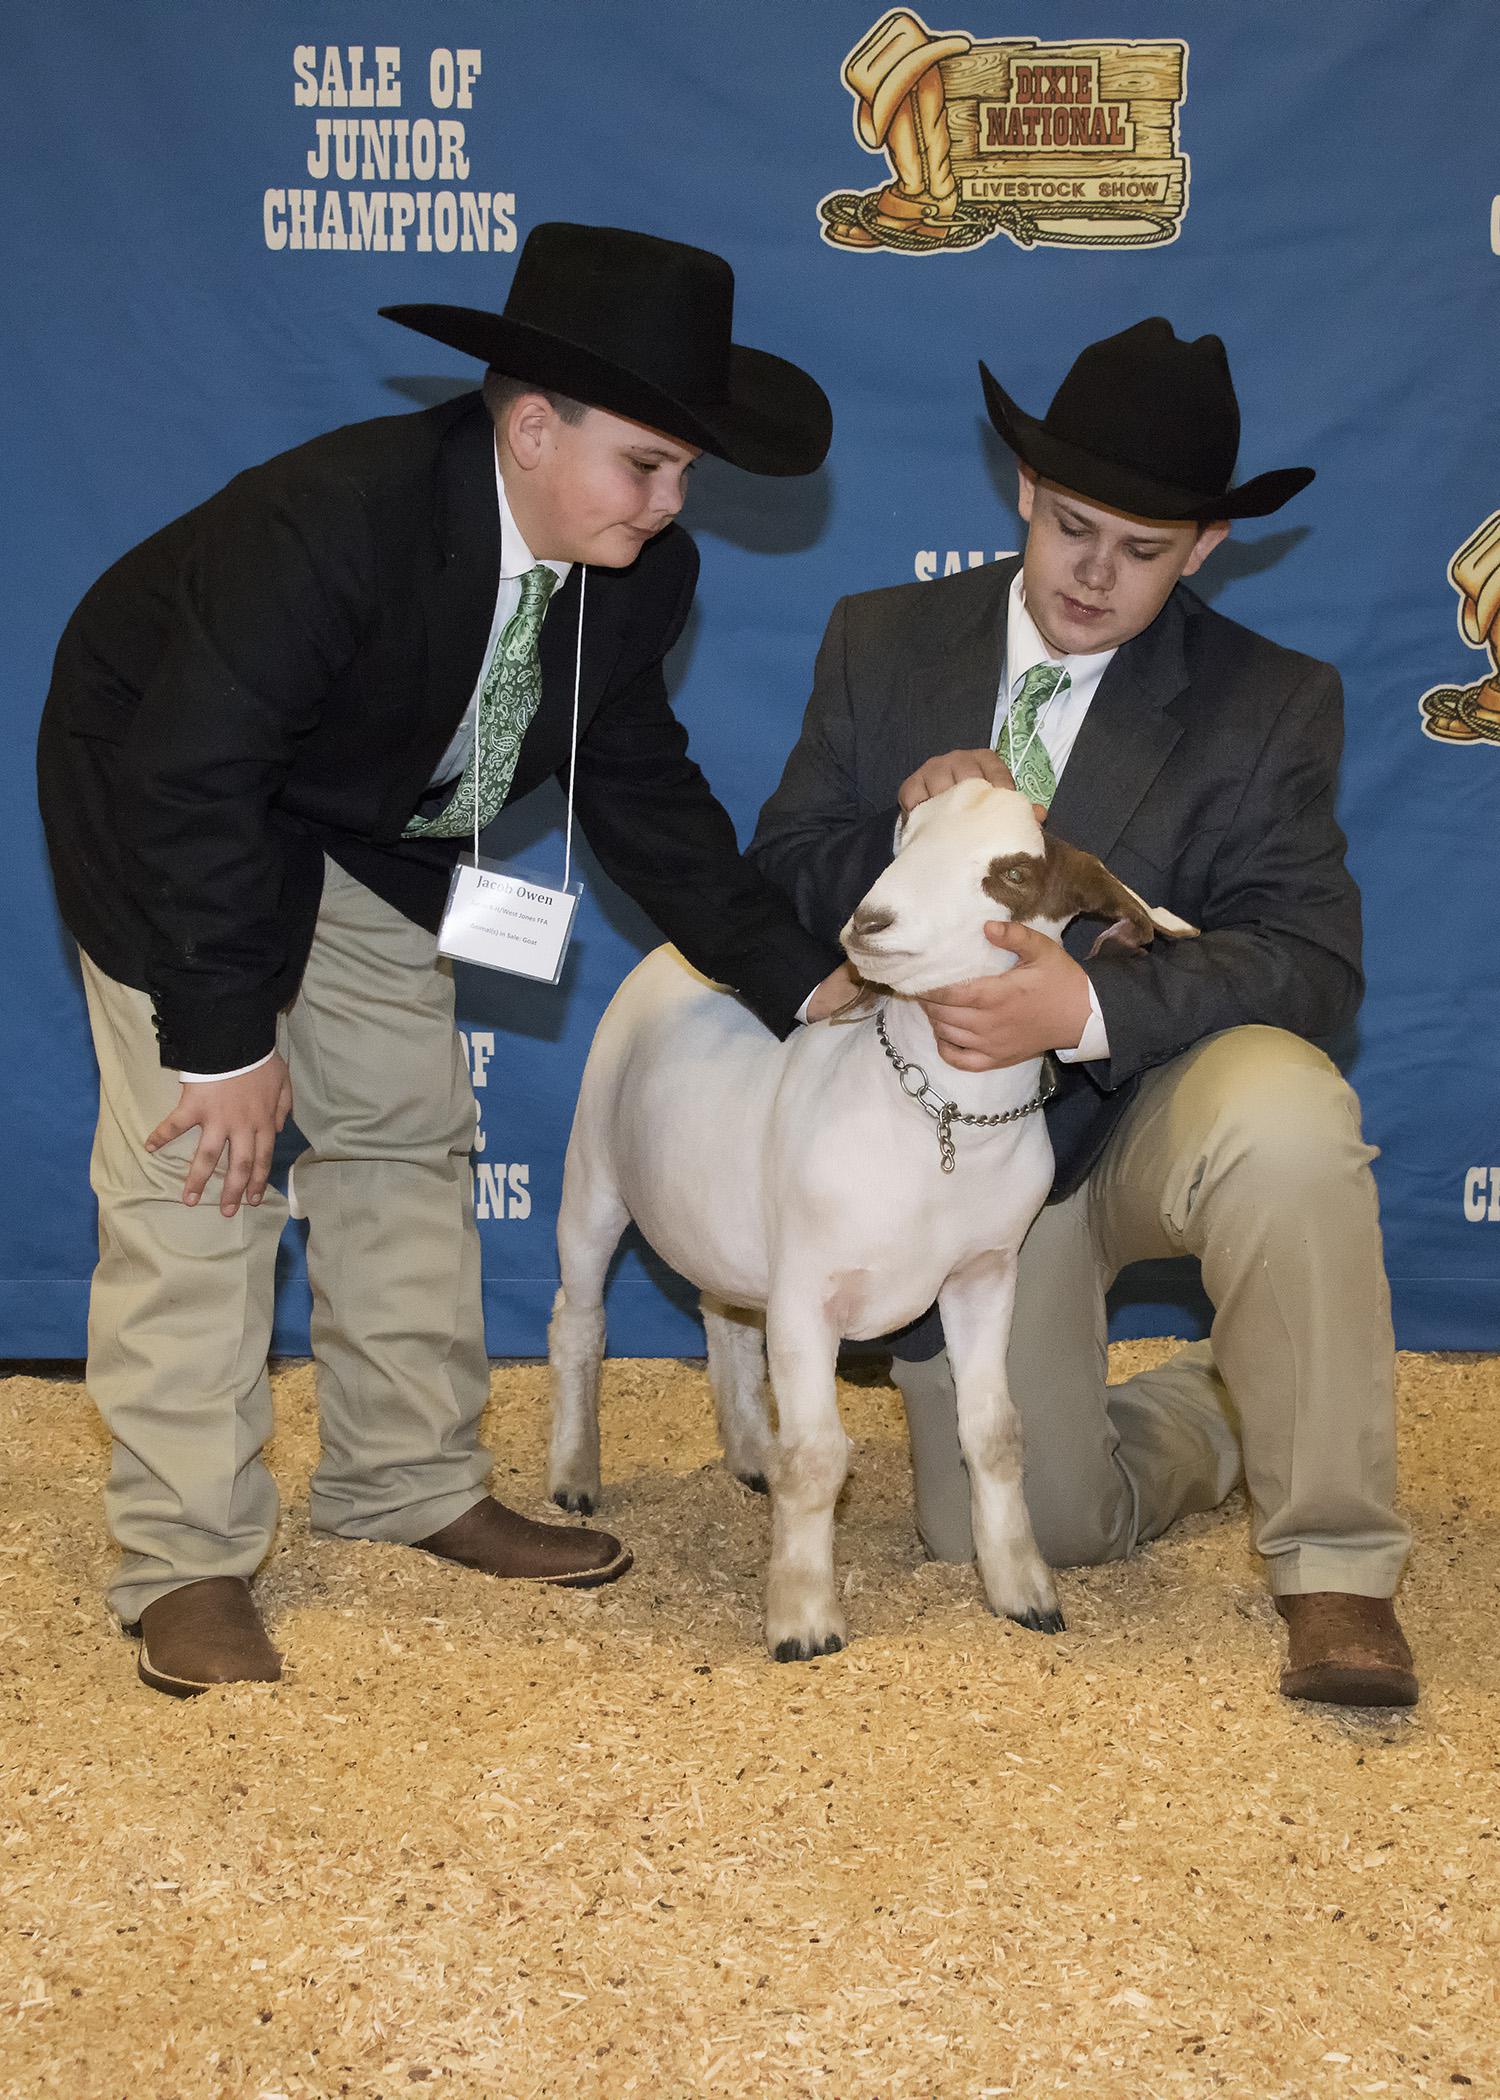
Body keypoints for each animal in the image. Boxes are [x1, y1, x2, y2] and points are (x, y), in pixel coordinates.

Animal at [542, 781, 1184, 1663]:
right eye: (904, 836)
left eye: (1014, 873)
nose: (870, 922)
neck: (938, 1116)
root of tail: (668, 954)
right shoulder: (809, 1291)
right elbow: (817, 1457)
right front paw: (803, 1620)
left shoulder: (985, 1274)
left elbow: (996, 1433)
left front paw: (1023, 1590)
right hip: (594, 1171)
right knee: (578, 1319)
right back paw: (574, 1475)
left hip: (729, 1228)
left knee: (724, 1318)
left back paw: (751, 1454)